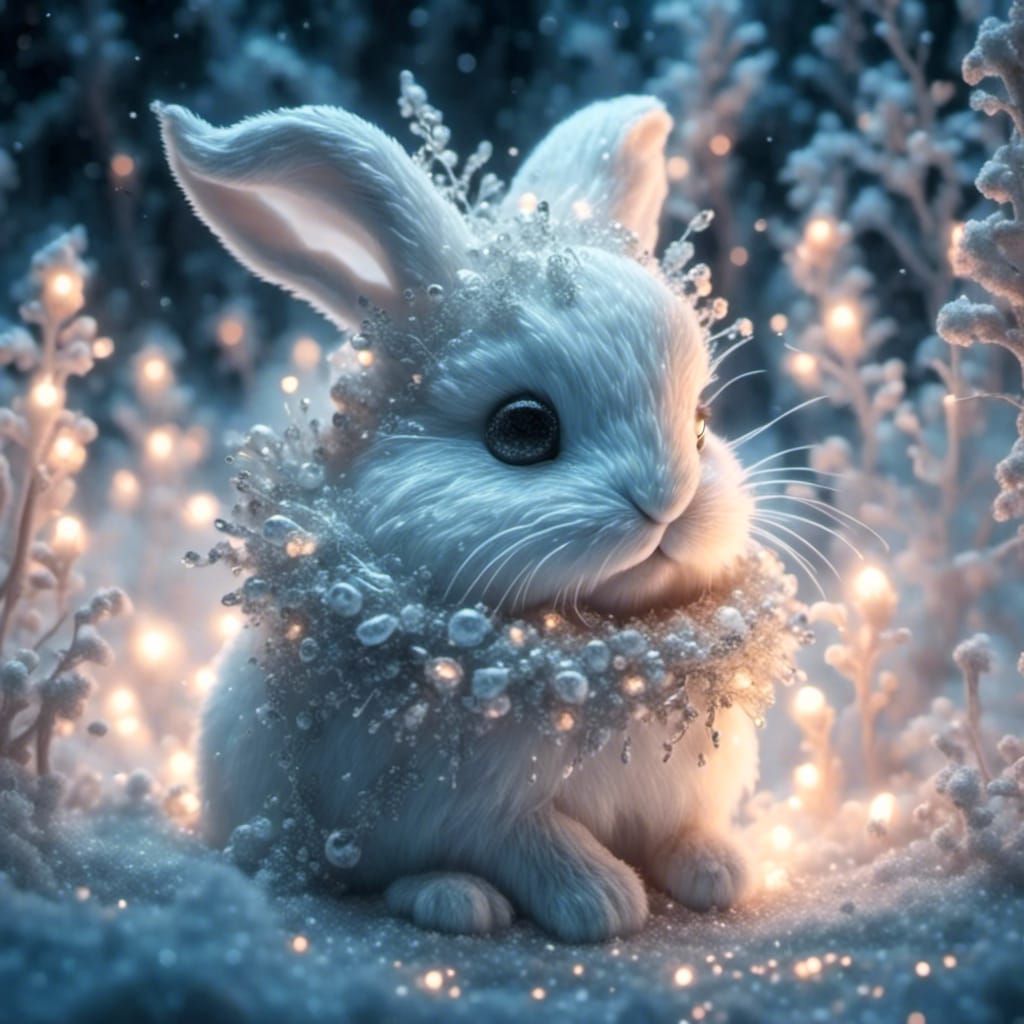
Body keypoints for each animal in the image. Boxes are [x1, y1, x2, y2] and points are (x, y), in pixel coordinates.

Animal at [155, 91, 759, 943]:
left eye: (702, 423)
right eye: (522, 430)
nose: (667, 501)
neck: (593, 649)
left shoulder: (684, 791)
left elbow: (686, 829)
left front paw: (719, 872)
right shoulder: (467, 810)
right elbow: (538, 842)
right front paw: (602, 901)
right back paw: (452, 899)